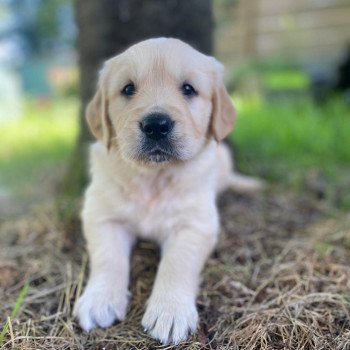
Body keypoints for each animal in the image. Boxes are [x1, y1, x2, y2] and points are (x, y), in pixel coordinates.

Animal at [72, 37, 262, 344]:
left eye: (188, 89)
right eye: (128, 89)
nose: (156, 125)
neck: (154, 177)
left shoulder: (195, 225)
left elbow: (177, 262)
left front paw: (170, 311)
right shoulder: (101, 216)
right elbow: (108, 257)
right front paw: (100, 299)